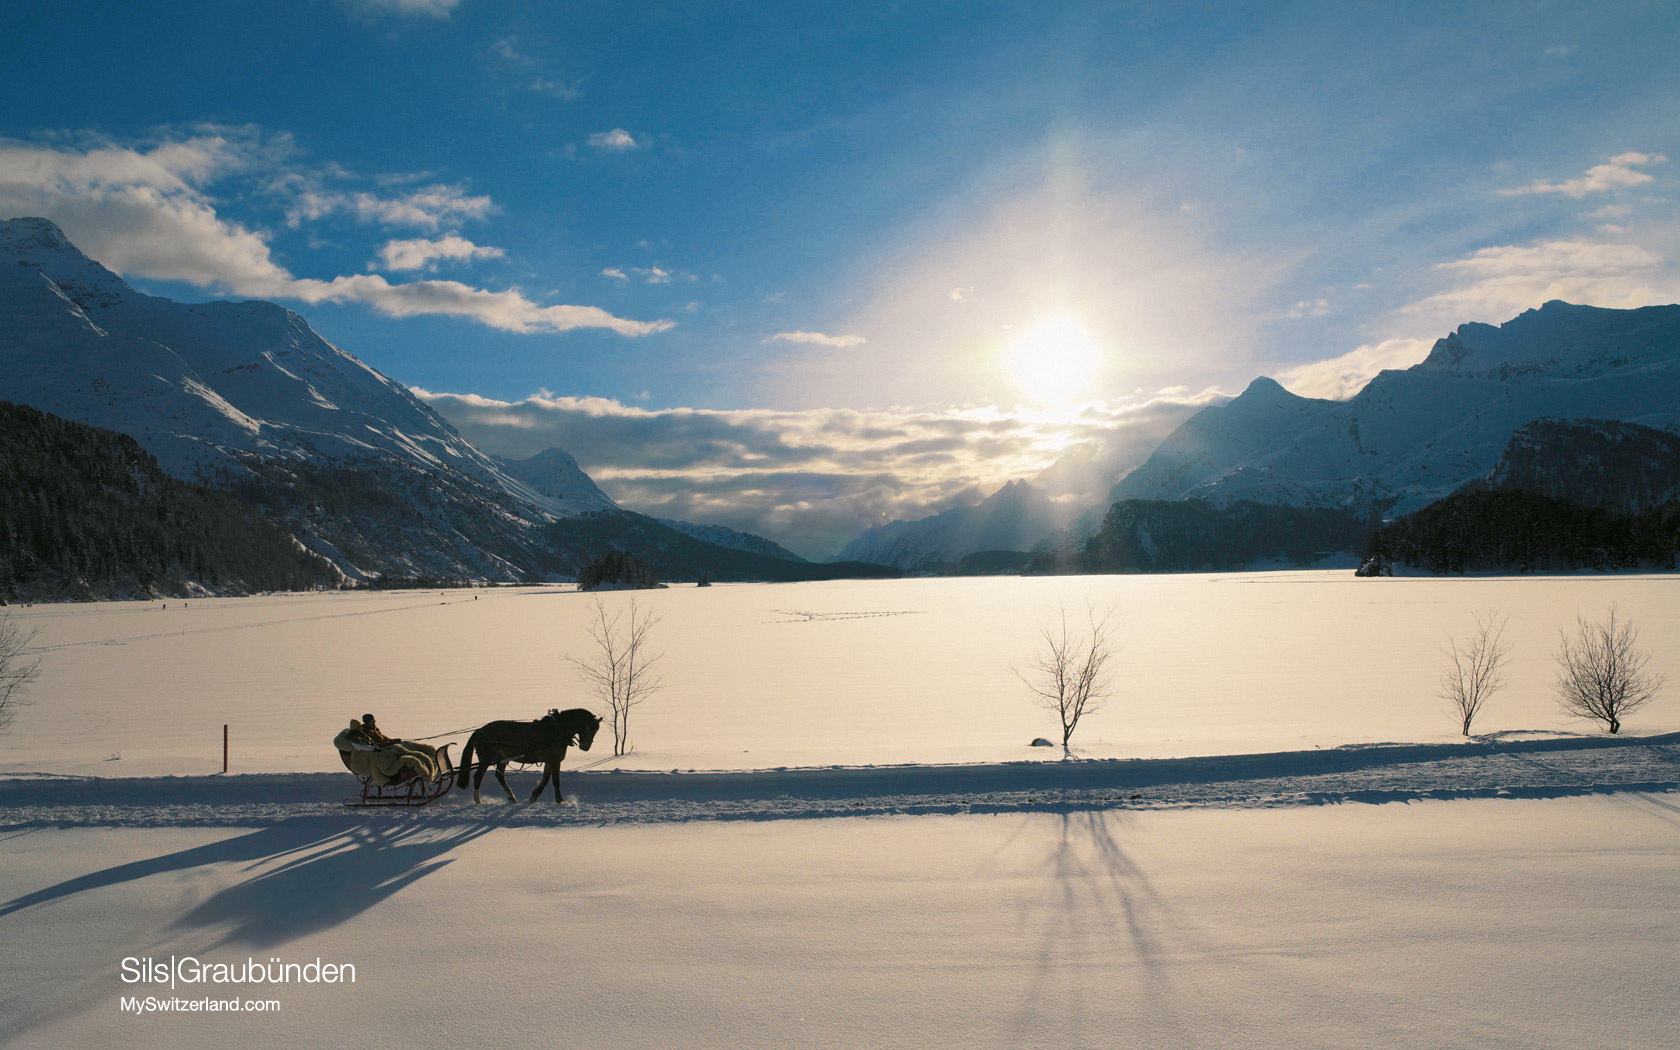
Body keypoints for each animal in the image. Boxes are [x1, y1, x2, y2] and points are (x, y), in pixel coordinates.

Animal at [456, 712, 601, 803]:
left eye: (596, 730)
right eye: (590, 728)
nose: (586, 746)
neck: (557, 731)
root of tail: (479, 731)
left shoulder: (549, 761)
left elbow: (545, 779)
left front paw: (534, 796)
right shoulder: (554, 761)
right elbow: (555, 781)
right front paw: (560, 800)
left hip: (501, 759)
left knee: (499, 776)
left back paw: (511, 797)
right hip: (486, 760)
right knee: (478, 777)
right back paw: (478, 801)